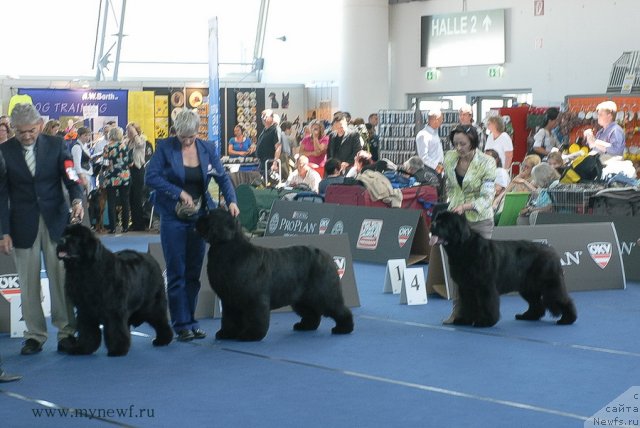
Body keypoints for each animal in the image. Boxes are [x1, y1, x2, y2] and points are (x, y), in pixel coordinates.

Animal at [57, 222, 171, 356]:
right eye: (65, 234)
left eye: (76, 237)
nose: (61, 240)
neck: (84, 270)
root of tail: (151, 258)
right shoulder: (85, 310)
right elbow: (87, 330)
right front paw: (84, 348)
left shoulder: (113, 309)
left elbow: (115, 329)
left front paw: (117, 350)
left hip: (151, 305)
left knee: (160, 320)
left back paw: (163, 340)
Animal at [196, 208, 356, 342]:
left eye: (209, 216)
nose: (197, 220)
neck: (228, 250)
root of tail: (327, 256)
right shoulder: (229, 300)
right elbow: (229, 319)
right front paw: (226, 333)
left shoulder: (254, 299)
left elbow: (255, 318)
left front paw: (251, 335)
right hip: (302, 298)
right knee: (312, 313)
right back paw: (305, 326)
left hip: (324, 293)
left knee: (339, 309)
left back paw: (344, 328)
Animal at [430, 211, 576, 328]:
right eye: (436, 219)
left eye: (443, 223)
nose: (432, 224)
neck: (463, 248)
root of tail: (552, 250)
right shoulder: (466, 287)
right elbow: (467, 304)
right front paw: (464, 320)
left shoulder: (485, 286)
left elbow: (487, 304)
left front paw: (485, 322)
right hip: (528, 286)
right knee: (536, 303)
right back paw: (527, 316)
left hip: (550, 284)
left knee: (562, 299)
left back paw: (567, 319)